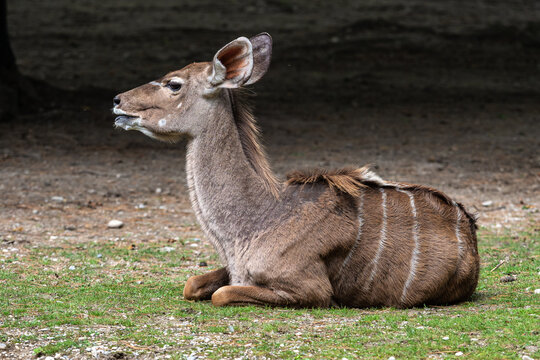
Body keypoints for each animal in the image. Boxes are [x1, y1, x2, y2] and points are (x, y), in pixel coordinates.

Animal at [113, 33, 480, 306]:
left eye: (173, 84)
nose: (117, 101)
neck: (256, 219)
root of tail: (470, 233)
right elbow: (192, 283)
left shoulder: (310, 289)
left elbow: (222, 294)